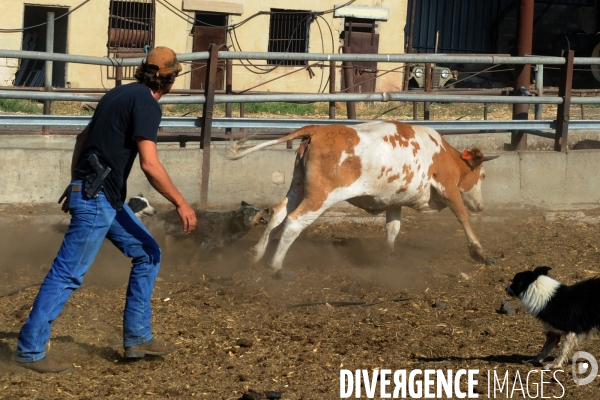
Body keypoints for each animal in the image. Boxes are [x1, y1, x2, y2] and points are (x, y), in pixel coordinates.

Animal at [227, 120, 500, 270]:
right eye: (483, 176)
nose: (481, 206)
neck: (444, 154)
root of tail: (317, 130)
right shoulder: (448, 188)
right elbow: (463, 217)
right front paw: (480, 252)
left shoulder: (395, 201)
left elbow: (393, 228)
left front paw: (390, 256)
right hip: (320, 196)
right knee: (294, 222)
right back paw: (275, 265)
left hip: (298, 186)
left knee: (277, 214)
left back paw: (255, 254)